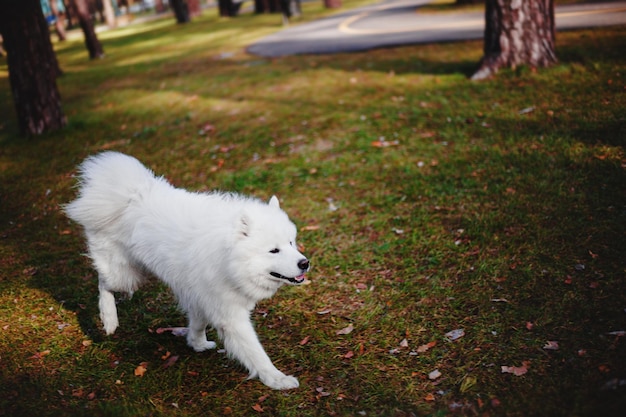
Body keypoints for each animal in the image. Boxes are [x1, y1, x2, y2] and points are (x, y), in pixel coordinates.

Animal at [64, 151, 308, 388]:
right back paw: (108, 319)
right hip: (124, 274)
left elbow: (198, 323)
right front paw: (276, 379)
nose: (304, 263)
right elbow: (256, 352)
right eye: (274, 250)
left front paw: (197, 343)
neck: (228, 258)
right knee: (103, 284)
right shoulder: (230, 315)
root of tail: (130, 194)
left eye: (291, 243)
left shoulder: (201, 296)